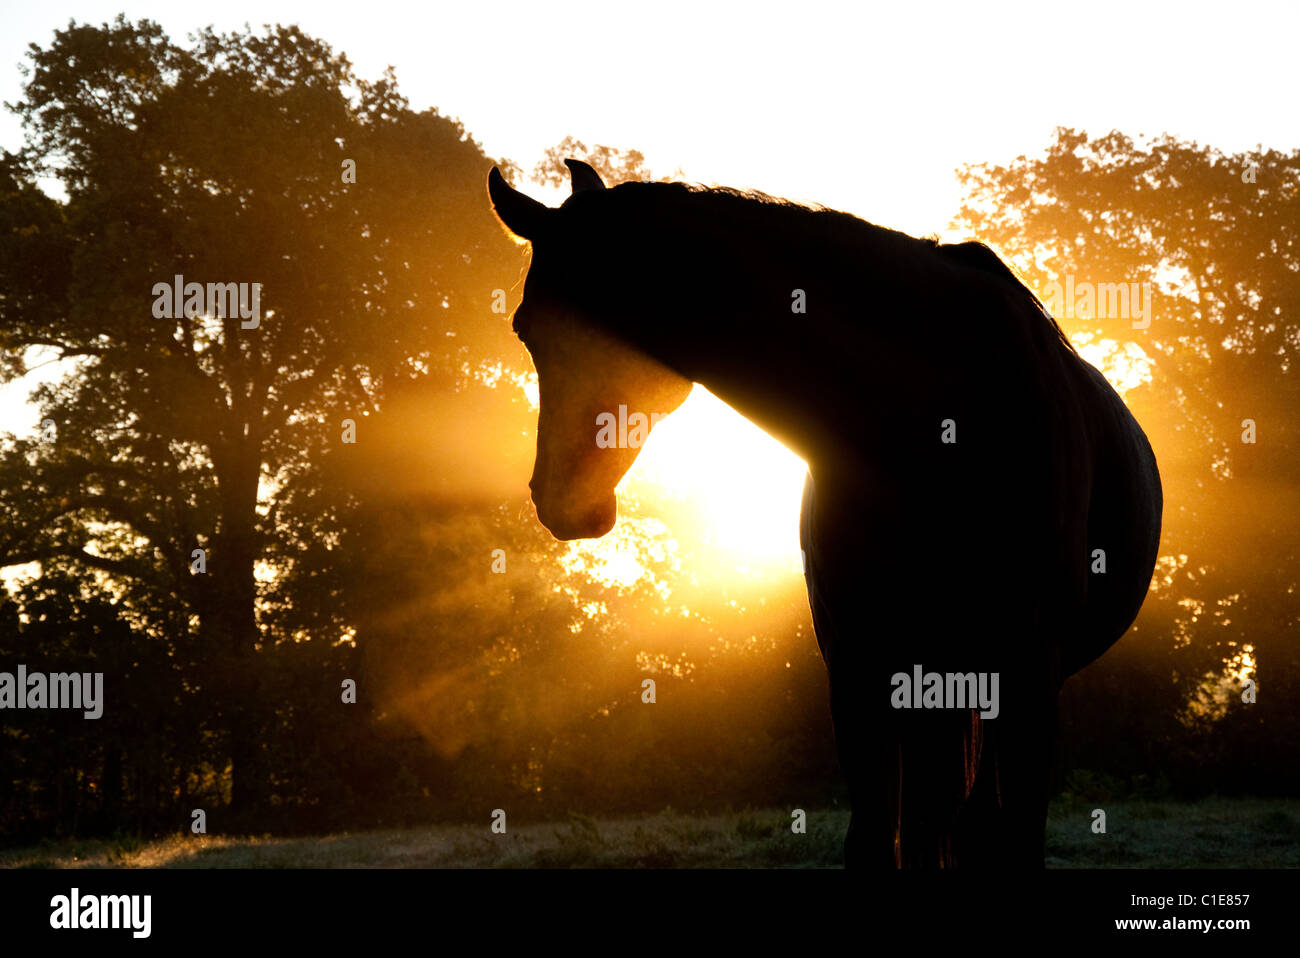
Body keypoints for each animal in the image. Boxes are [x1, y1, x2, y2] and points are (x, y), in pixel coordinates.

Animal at [487, 159, 1163, 868]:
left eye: (528, 327)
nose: (558, 500)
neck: (934, 419)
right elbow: (876, 840)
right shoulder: (858, 664)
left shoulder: (1028, 669)